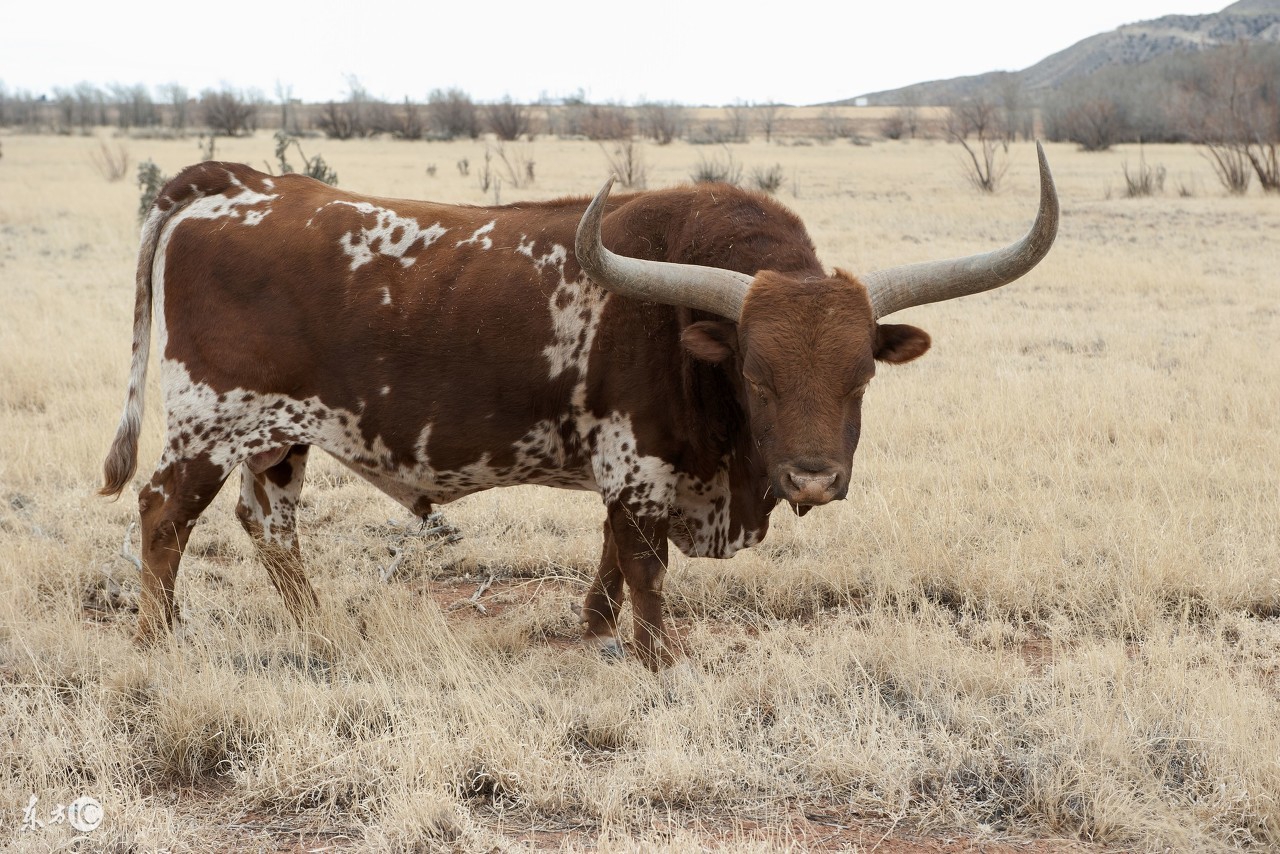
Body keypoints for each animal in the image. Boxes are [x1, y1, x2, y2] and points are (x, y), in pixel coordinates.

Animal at [102, 145, 1059, 665]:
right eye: (757, 375)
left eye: (861, 375)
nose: (815, 478)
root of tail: (238, 185)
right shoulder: (639, 462)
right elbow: (644, 561)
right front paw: (659, 656)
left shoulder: (630, 466)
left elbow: (611, 549)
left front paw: (594, 622)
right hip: (209, 422)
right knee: (163, 514)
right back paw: (157, 640)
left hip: (279, 436)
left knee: (269, 523)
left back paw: (321, 630)